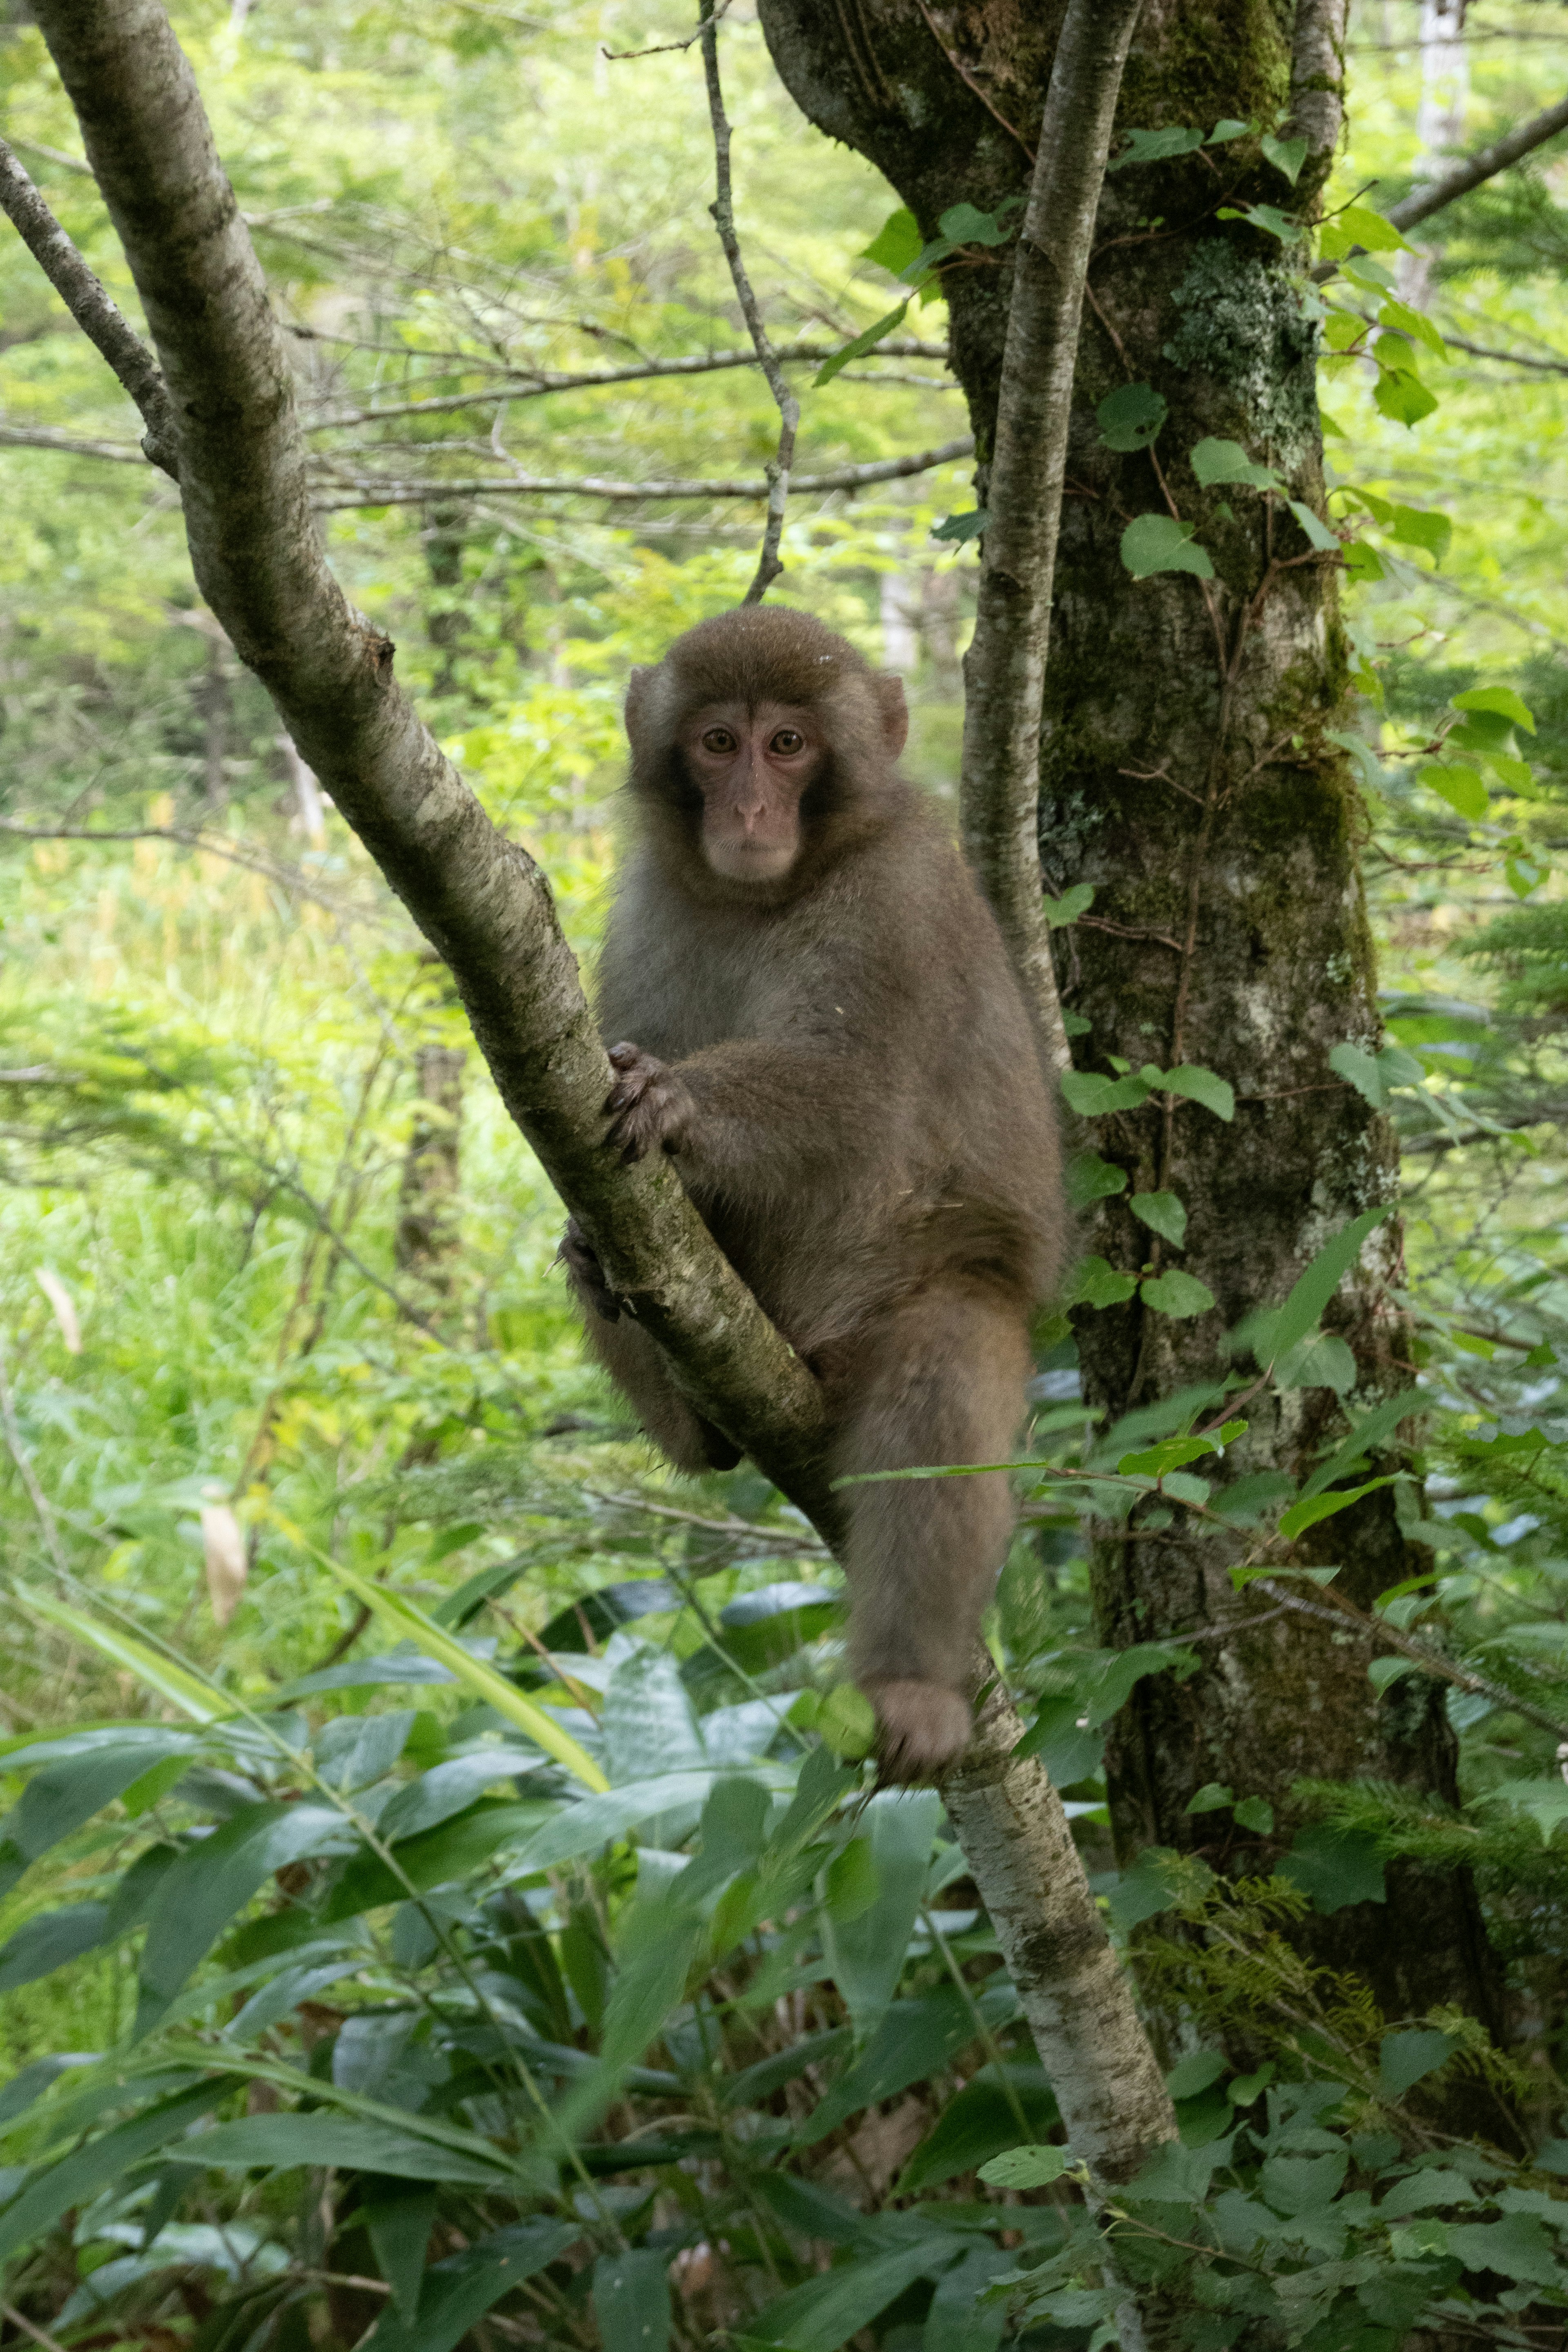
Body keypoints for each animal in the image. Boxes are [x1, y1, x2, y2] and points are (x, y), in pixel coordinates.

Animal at [564, 607, 1067, 1778]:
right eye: (718, 743)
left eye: (787, 746)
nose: (749, 806)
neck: (769, 892)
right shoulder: (650, 906)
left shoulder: (899, 901)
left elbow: (858, 1092)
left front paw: (678, 1101)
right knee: (623, 1243)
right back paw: (672, 1395)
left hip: (924, 1294)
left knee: (940, 1377)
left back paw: (910, 1686)